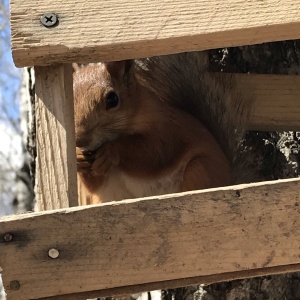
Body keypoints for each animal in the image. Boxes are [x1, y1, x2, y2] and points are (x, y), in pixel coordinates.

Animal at [74, 51, 251, 204]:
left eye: (112, 99)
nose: (80, 140)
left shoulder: (167, 131)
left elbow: (154, 154)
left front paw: (111, 150)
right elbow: (95, 184)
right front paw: (79, 158)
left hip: (199, 170)